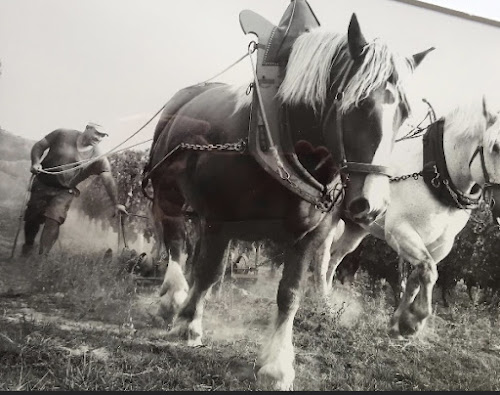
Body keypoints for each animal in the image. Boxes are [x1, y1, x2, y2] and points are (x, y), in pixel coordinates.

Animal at [146, 13, 432, 392]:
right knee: (176, 241)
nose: (372, 204)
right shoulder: (220, 220)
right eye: (355, 102)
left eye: (404, 111)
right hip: (168, 192)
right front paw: (188, 323)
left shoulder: (308, 235)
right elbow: (208, 271)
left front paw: (276, 365)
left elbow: (290, 293)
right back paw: (173, 297)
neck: (279, 142)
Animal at [316, 97, 500, 338]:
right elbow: (428, 271)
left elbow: (416, 277)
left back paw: (330, 300)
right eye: (496, 147)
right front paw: (415, 320)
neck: (434, 174)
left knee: (335, 258)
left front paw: (398, 323)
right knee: (323, 257)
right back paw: (320, 300)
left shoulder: (441, 245)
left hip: (356, 229)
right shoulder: (400, 232)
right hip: (330, 218)